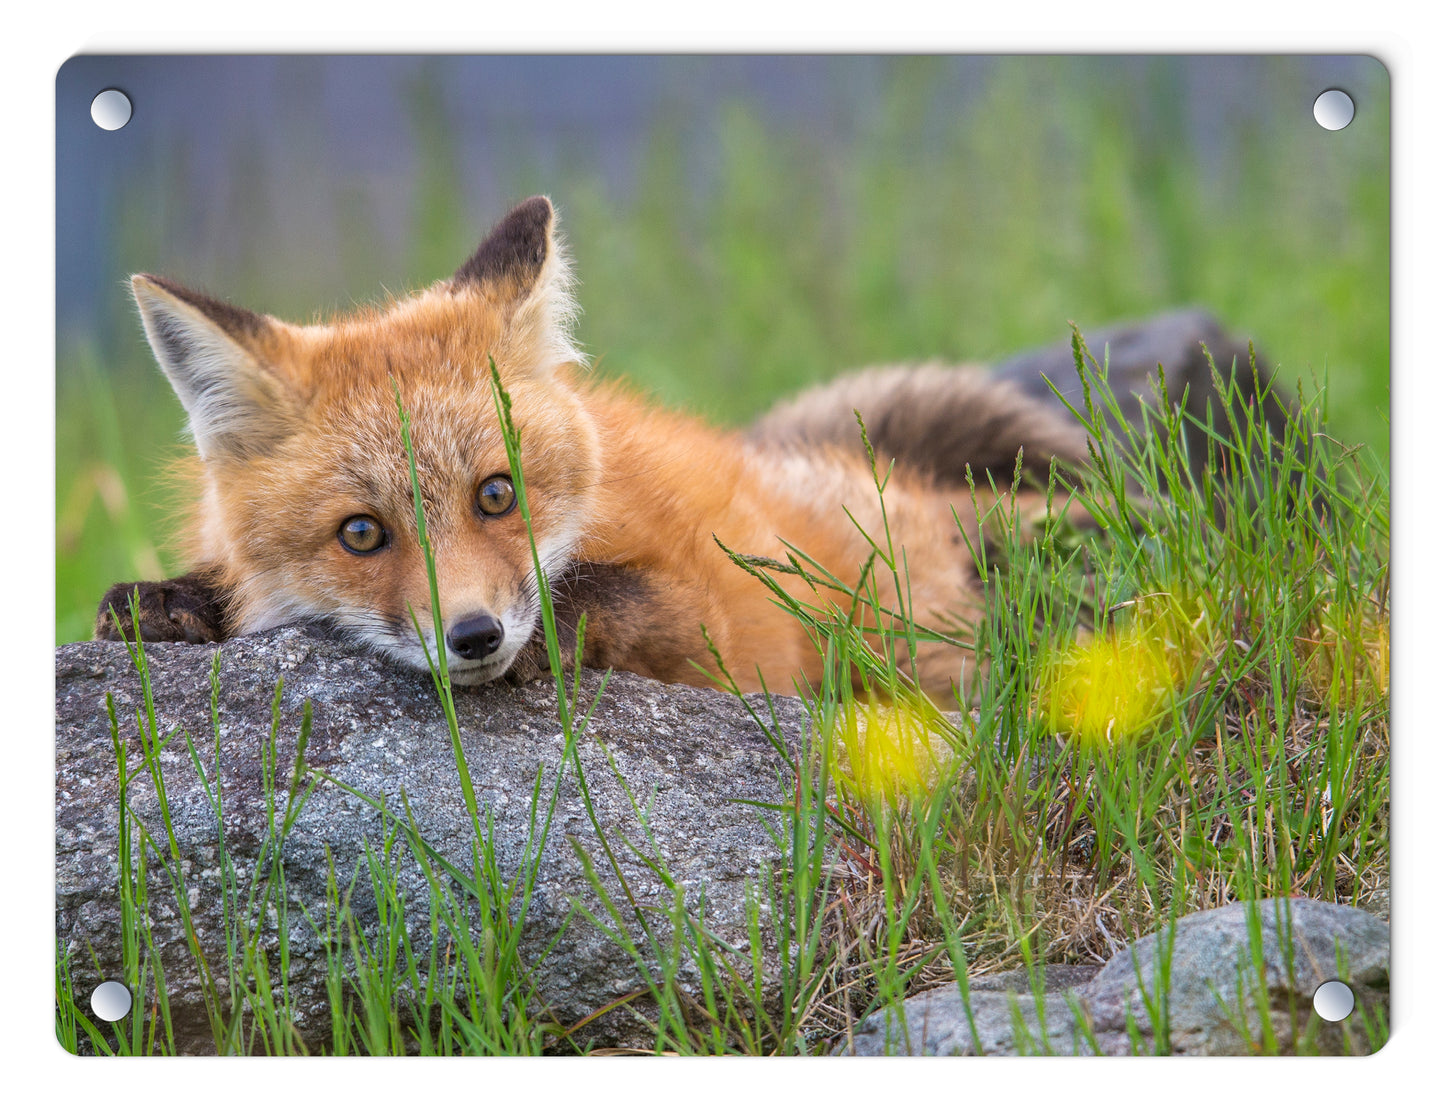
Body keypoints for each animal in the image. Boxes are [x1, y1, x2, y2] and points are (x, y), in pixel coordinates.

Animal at [93, 190, 1265, 693]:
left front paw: (555, 627)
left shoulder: (723, 630)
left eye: (495, 495)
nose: (474, 637)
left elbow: (603, 595)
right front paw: (168, 603)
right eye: (360, 534)